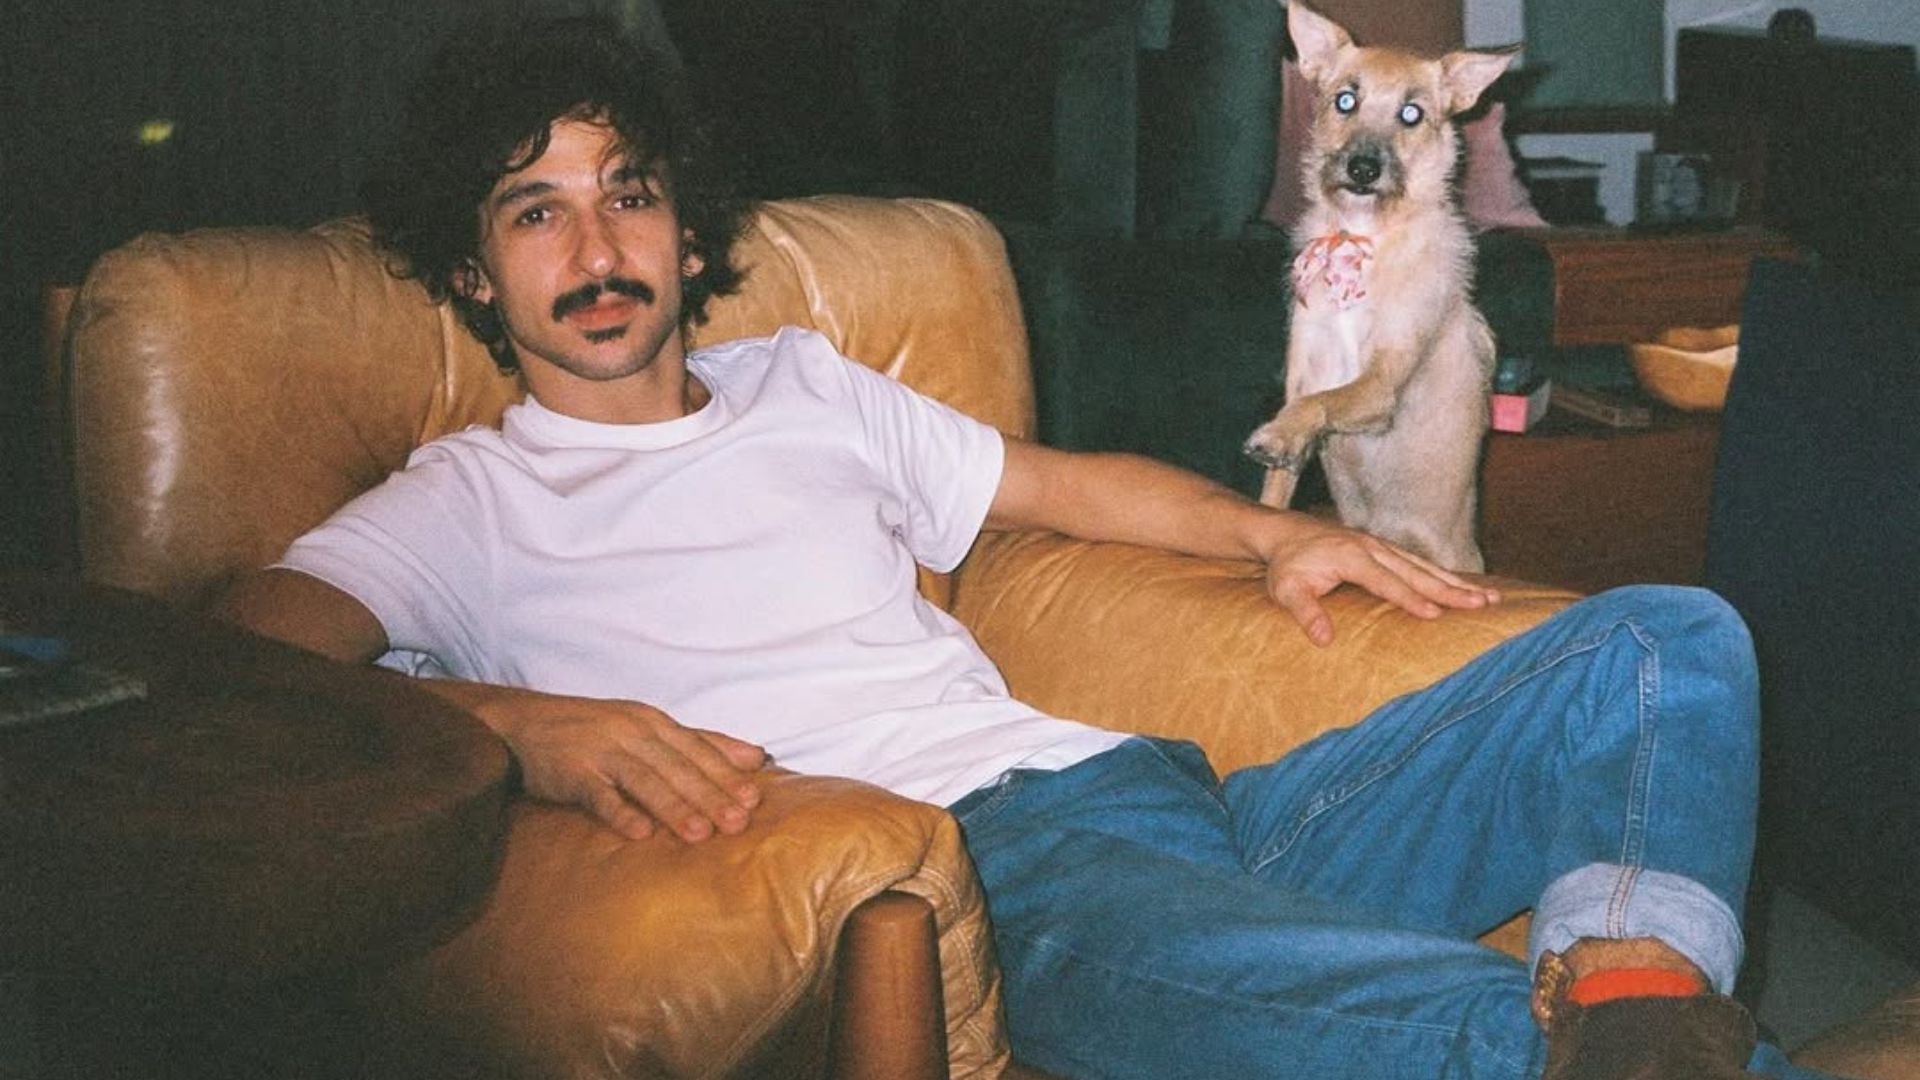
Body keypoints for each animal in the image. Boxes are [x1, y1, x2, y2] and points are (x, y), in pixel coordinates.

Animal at [1243, 2, 1517, 572]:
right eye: (1345, 100)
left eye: (1411, 114)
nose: (1363, 169)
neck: (1361, 238)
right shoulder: (1305, 372)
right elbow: (1278, 482)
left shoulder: (1380, 385)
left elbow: (1318, 406)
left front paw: (1277, 434)